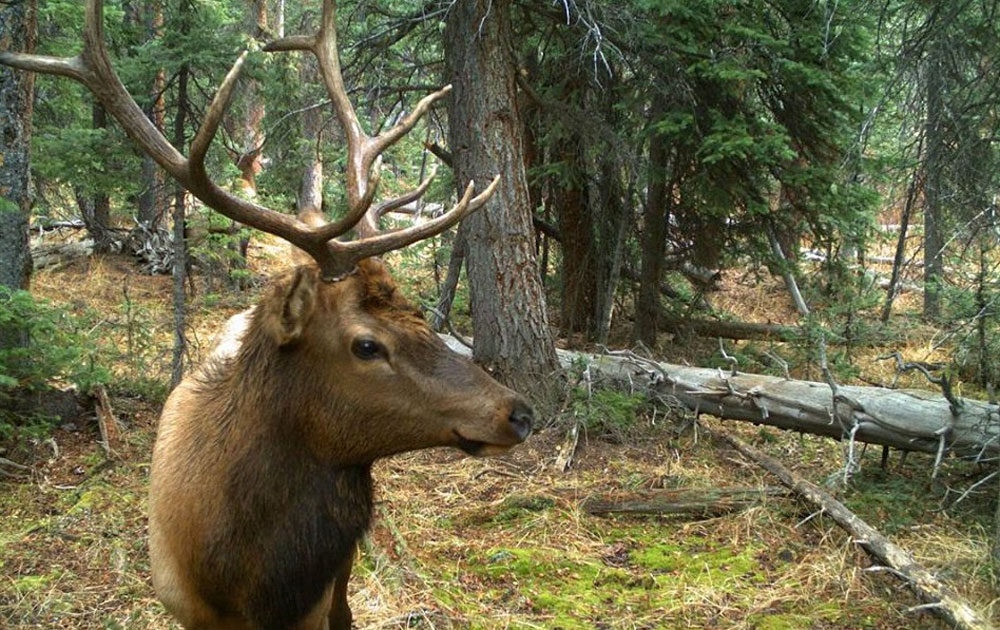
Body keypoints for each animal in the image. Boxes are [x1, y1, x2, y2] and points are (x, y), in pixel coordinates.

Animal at [0, 1, 536, 628]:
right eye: (367, 345)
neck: (243, 583)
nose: (520, 412)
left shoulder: (316, 596)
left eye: (424, 316)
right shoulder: (184, 607)